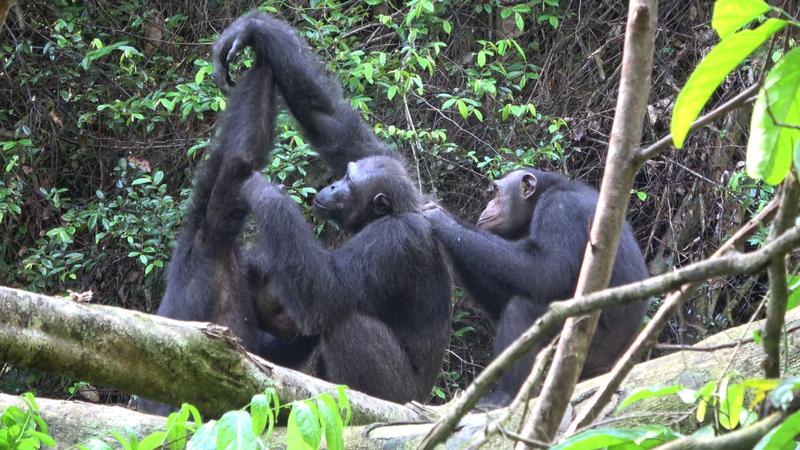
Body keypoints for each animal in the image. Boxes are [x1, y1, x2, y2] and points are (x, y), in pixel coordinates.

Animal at [209, 12, 454, 402]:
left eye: (350, 185)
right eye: (348, 173)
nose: (335, 185)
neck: (398, 211)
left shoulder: (392, 239)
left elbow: (328, 292)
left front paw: (266, 193)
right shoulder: (383, 157)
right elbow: (329, 119)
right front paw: (252, 31)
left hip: (398, 393)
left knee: (346, 321)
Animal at [422, 169, 648, 408]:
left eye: (496, 192)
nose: (488, 203)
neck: (543, 194)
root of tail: (613, 362)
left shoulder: (560, 209)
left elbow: (546, 270)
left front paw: (443, 220)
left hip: (585, 348)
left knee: (521, 308)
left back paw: (503, 396)